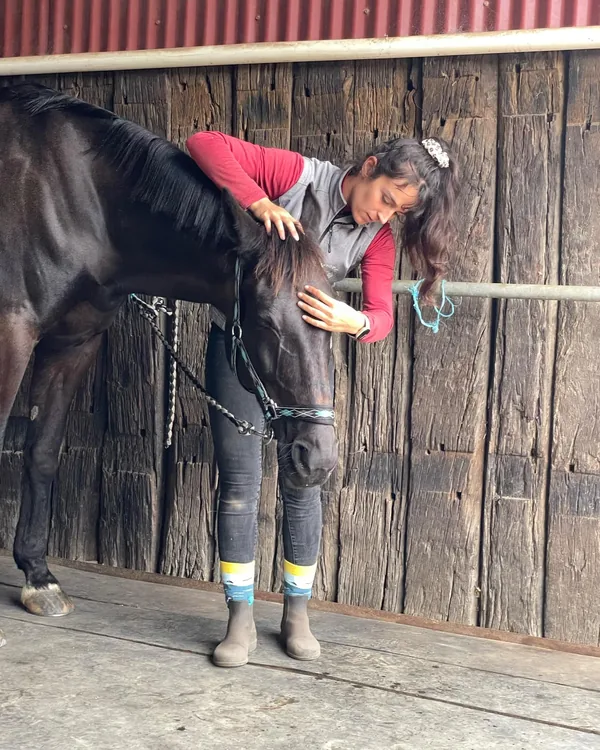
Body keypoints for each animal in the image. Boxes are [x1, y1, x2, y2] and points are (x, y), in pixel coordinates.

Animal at [0, 83, 337, 642]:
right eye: (267, 321)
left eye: (332, 318)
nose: (318, 459)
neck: (73, 199)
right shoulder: (12, 334)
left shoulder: (72, 344)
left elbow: (43, 452)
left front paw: (38, 576)